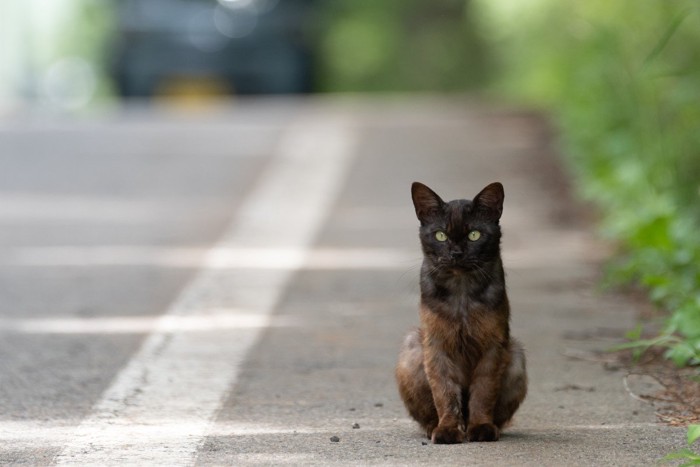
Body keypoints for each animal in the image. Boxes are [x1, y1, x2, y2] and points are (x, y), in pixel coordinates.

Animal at [396, 181, 528, 444]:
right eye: (441, 235)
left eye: (474, 234)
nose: (456, 253)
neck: (461, 292)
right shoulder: (437, 345)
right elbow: (445, 392)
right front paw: (447, 430)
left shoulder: (493, 345)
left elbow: (483, 392)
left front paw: (481, 428)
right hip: (412, 349)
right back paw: (436, 428)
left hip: (516, 355)